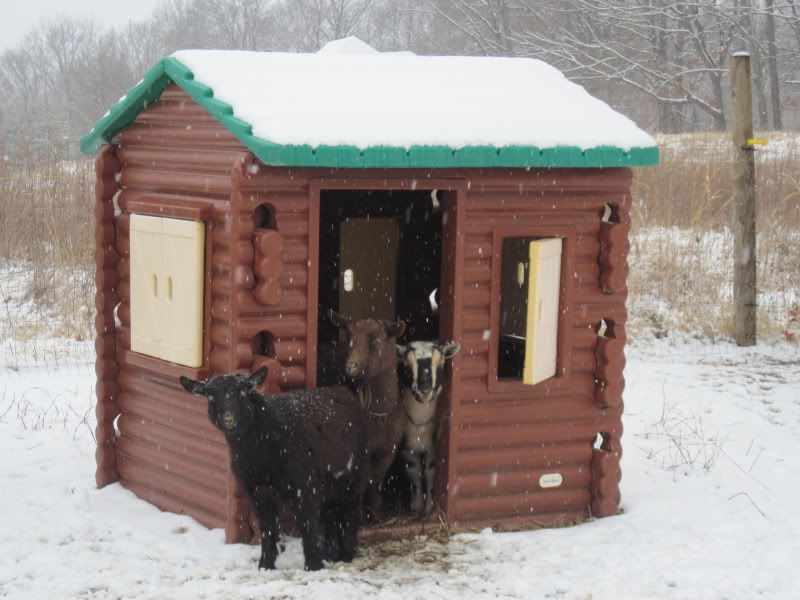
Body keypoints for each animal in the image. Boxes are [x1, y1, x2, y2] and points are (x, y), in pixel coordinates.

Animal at [179, 367, 368, 571]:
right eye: (210, 396)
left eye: (244, 392)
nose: (229, 418)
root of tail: (343, 391)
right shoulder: (256, 489)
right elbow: (266, 526)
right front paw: (266, 564)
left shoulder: (304, 485)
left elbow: (307, 523)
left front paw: (313, 565)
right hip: (331, 481)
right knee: (333, 512)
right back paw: (331, 553)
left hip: (354, 474)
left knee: (349, 510)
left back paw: (345, 554)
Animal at [328, 310, 406, 519]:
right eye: (349, 338)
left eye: (376, 340)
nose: (351, 367)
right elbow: (362, 480)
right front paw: (360, 514)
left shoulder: (390, 447)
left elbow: (376, 477)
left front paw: (377, 510)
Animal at [396, 341, 460, 515]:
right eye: (406, 365)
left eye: (440, 363)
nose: (424, 390)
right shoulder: (406, 445)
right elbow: (414, 471)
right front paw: (416, 505)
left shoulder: (433, 445)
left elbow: (430, 471)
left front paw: (430, 506)